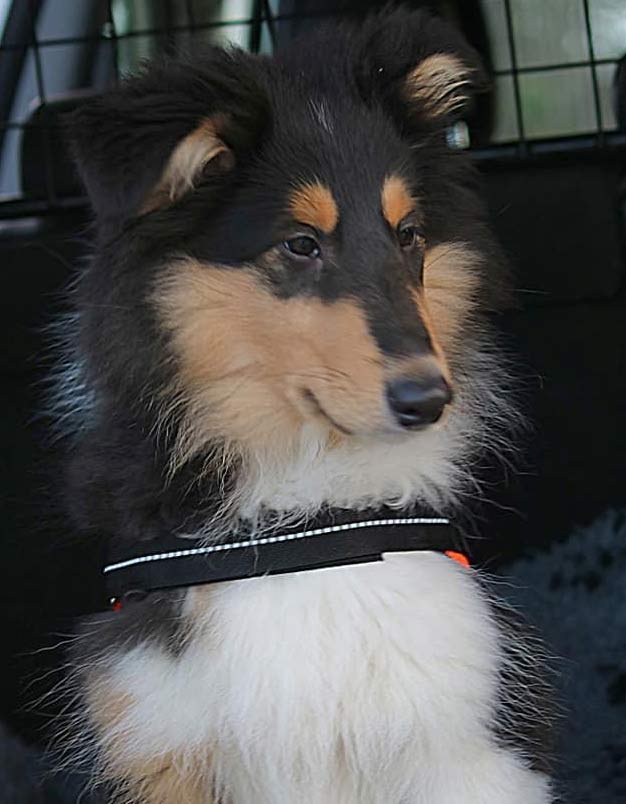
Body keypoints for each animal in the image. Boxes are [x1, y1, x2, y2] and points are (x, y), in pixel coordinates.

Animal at [57, 8, 555, 802]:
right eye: (299, 244)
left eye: (409, 235)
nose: (429, 399)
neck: (304, 516)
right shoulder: (151, 730)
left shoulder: (470, 738)